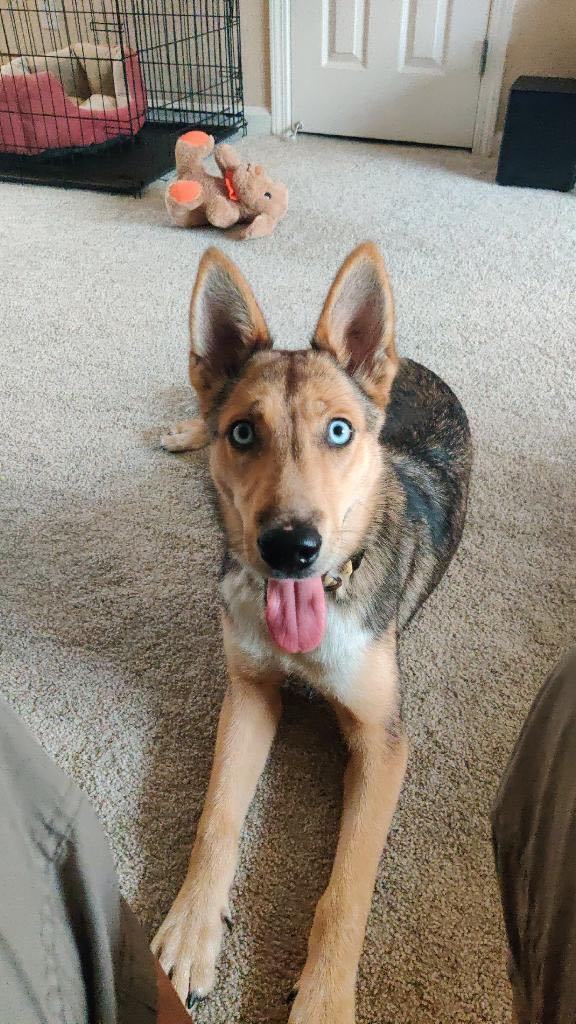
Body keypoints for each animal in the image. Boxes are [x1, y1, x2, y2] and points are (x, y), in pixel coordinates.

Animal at [152, 243, 471, 1019]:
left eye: (339, 432)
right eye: (244, 432)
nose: (289, 547)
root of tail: (409, 361)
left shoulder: (383, 743)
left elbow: (347, 888)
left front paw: (324, 996)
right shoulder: (248, 693)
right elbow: (216, 818)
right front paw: (193, 928)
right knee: (197, 402)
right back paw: (183, 429)